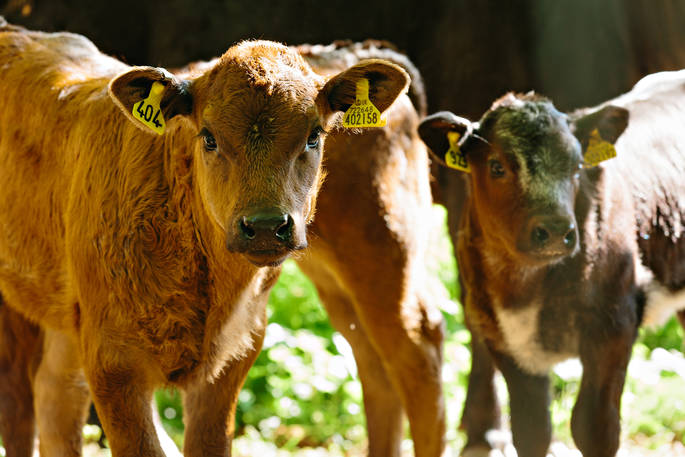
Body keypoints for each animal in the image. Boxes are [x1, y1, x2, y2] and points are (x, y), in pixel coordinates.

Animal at [0, 19, 410, 457]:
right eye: (209, 137)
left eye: (314, 134)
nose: (265, 225)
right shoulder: (113, 364)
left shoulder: (233, 356)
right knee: (19, 404)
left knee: (56, 395)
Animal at [418, 70, 685, 457]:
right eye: (497, 166)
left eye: (577, 167)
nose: (557, 231)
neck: (524, 290)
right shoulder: (501, 336)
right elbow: (532, 430)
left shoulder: (615, 326)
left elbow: (594, 427)